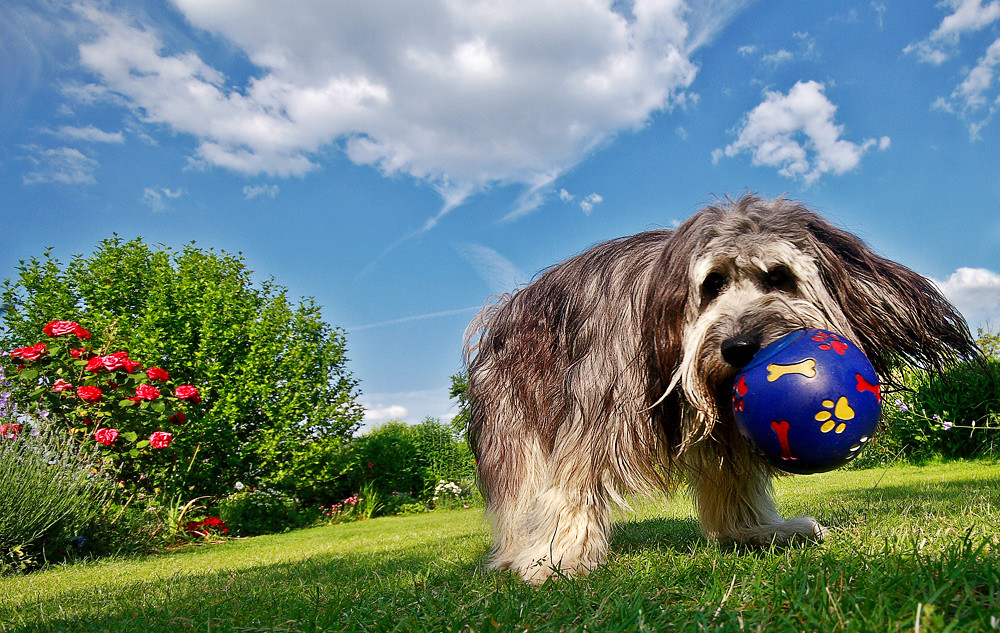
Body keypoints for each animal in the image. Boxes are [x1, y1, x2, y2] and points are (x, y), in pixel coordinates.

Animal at [462, 193, 976, 584]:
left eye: (779, 277)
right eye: (711, 284)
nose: (739, 347)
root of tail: (505, 308)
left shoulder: (729, 427)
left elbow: (733, 480)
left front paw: (754, 531)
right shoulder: (595, 403)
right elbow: (573, 481)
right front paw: (557, 558)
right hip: (515, 418)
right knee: (523, 488)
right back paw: (518, 551)